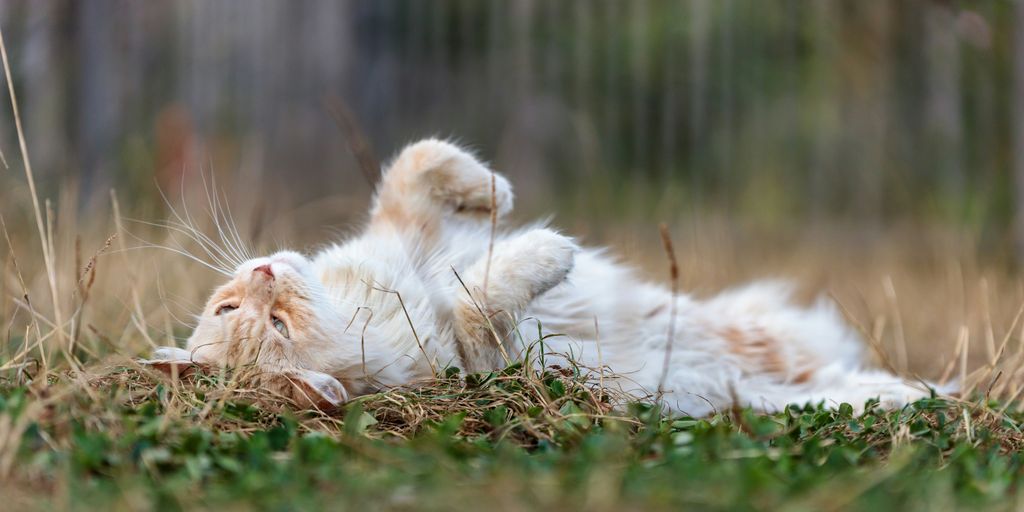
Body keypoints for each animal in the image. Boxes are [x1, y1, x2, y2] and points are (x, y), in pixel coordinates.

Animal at [144, 138, 937, 413]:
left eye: (236, 311)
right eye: (272, 324)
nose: (264, 269)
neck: (365, 305)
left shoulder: (403, 236)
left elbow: (417, 161)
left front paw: (493, 191)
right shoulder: (484, 361)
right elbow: (477, 299)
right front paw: (549, 249)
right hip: (764, 395)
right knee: (836, 394)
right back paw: (916, 398)